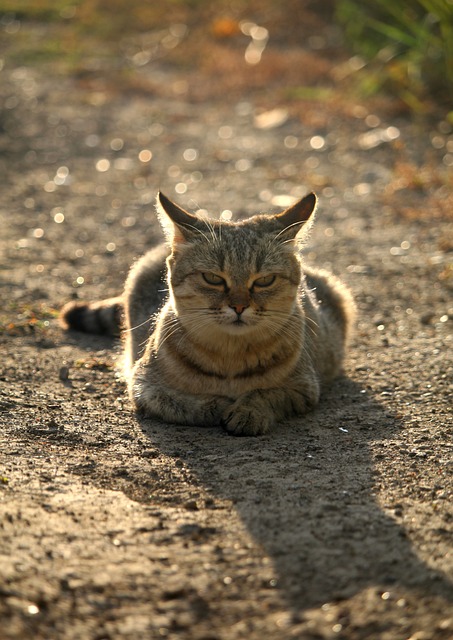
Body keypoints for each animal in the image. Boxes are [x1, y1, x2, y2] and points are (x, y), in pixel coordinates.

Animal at [60, 190, 354, 438]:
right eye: (213, 278)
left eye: (264, 280)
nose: (239, 306)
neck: (230, 357)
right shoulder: (143, 385)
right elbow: (182, 403)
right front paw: (218, 405)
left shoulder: (305, 387)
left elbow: (265, 393)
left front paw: (248, 410)